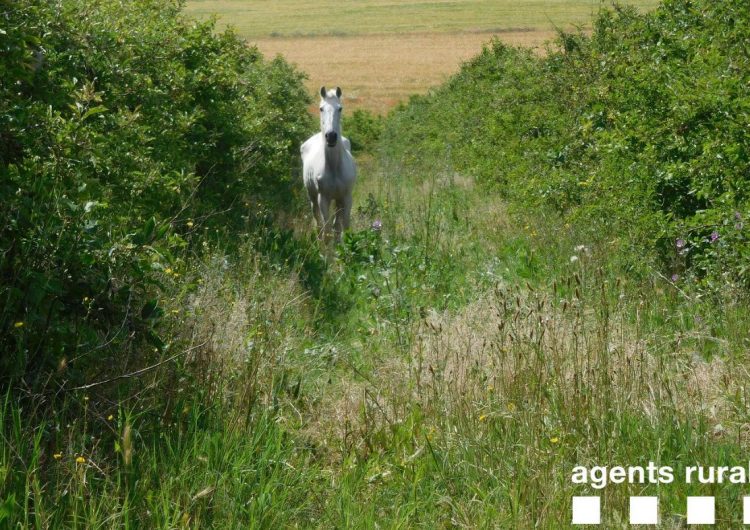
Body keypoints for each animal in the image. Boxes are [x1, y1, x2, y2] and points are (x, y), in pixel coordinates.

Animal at [302, 86, 356, 241]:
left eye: (340, 108)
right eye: (321, 108)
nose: (331, 136)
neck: (334, 168)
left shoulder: (346, 197)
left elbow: (344, 228)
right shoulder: (323, 199)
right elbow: (326, 231)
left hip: (337, 200)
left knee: (336, 226)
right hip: (313, 197)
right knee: (318, 224)